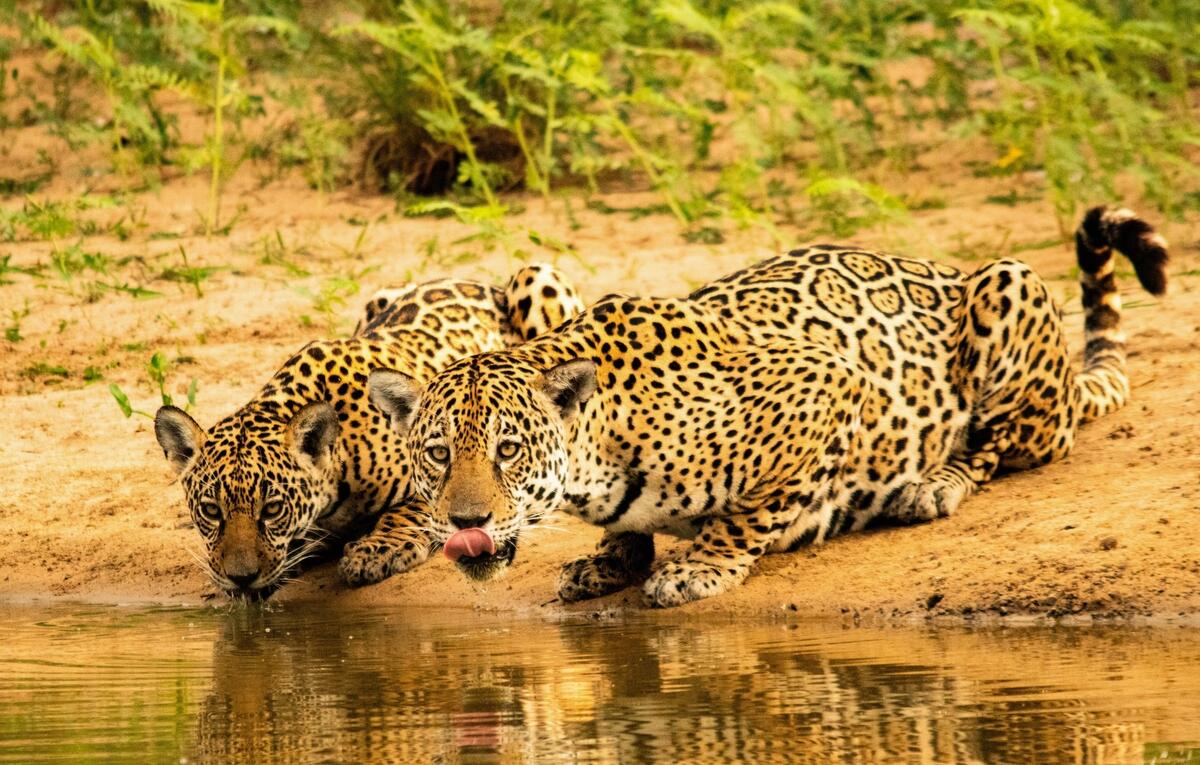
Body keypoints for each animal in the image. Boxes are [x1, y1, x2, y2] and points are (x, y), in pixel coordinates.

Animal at [152, 262, 584, 599]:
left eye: (272, 510)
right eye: (211, 511)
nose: (240, 578)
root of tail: (478, 282)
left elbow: (411, 510)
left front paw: (376, 550)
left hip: (537, 278)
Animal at [366, 206, 1168, 607]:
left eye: (508, 450)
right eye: (438, 453)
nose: (464, 523)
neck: (598, 451)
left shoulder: (825, 386)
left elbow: (750, 512)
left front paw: (698, 568)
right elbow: (629, 530)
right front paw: (610, 561)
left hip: (1010, 283)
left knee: (1005, 443)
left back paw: (932, 484)